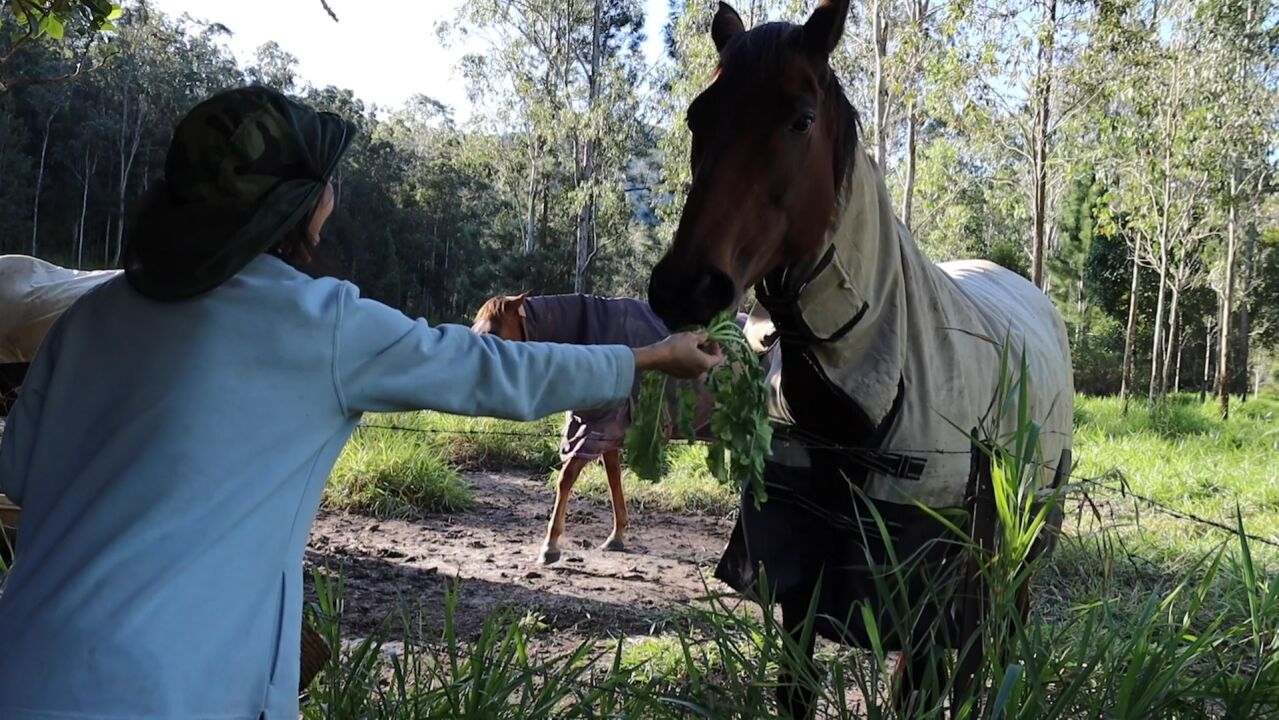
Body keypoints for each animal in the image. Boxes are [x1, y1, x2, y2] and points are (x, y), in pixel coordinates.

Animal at [473, 292, 752, 562]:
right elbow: (613, 479)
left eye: (491, 331)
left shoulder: (595, 433)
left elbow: (566, 479)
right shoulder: (603, 435)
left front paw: (550, 545)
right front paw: (616, 537)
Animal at [644, 2, 1074, 716]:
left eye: (800, 118)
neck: (865, 394)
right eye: (697, 116)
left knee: (998, 645)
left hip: (1022, 551)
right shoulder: (800, 593)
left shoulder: (928, 604)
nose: (684, 288)